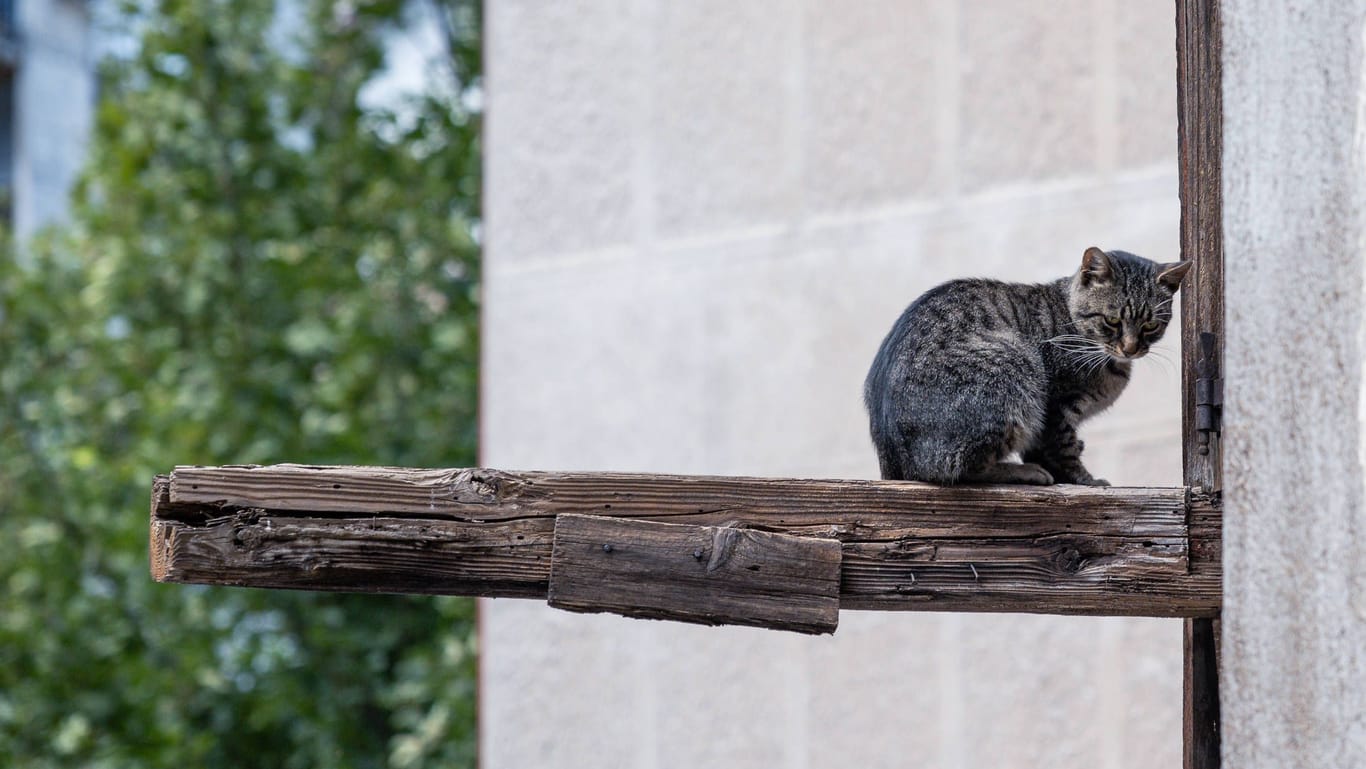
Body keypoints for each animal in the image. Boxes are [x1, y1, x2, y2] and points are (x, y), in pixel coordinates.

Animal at [863, 248, 1185, 486]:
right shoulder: (1056, 408)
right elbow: (1062, 451)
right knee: (955, 470)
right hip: (1014, 365)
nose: (1130, 348)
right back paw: (1024, 472)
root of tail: (894, 460)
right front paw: (1086, 480)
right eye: (1112, 321)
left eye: (1151, 325)